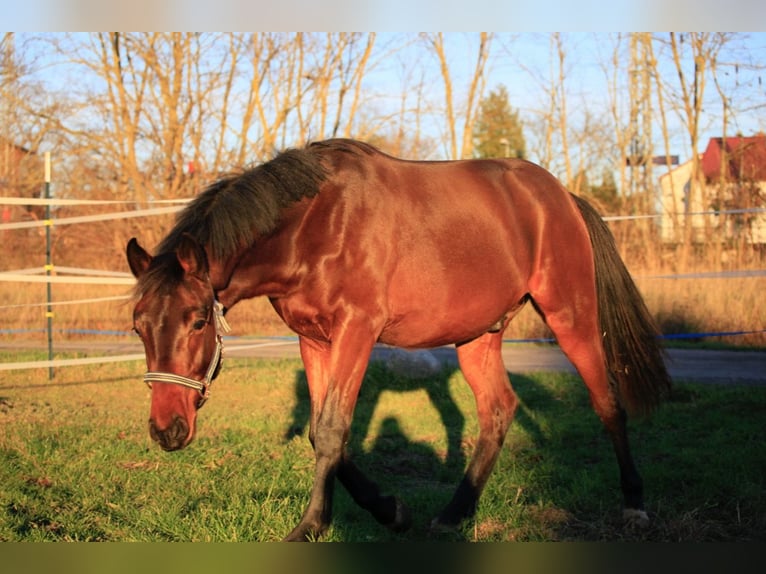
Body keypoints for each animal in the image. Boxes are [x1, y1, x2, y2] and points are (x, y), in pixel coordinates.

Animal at [127, 137, 672, 544]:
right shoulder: (314, 340)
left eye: (199, 321)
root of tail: (562, 198)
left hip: (570, 313)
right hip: (478, 335)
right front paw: (392, 511)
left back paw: (635, 505)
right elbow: (321, 433)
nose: (167, 430)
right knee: (498, 410)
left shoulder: (357, 330)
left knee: (607, 402)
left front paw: (311, 526)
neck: (314, 224)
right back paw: (454, 515)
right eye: (138, 325)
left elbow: (332, 430)